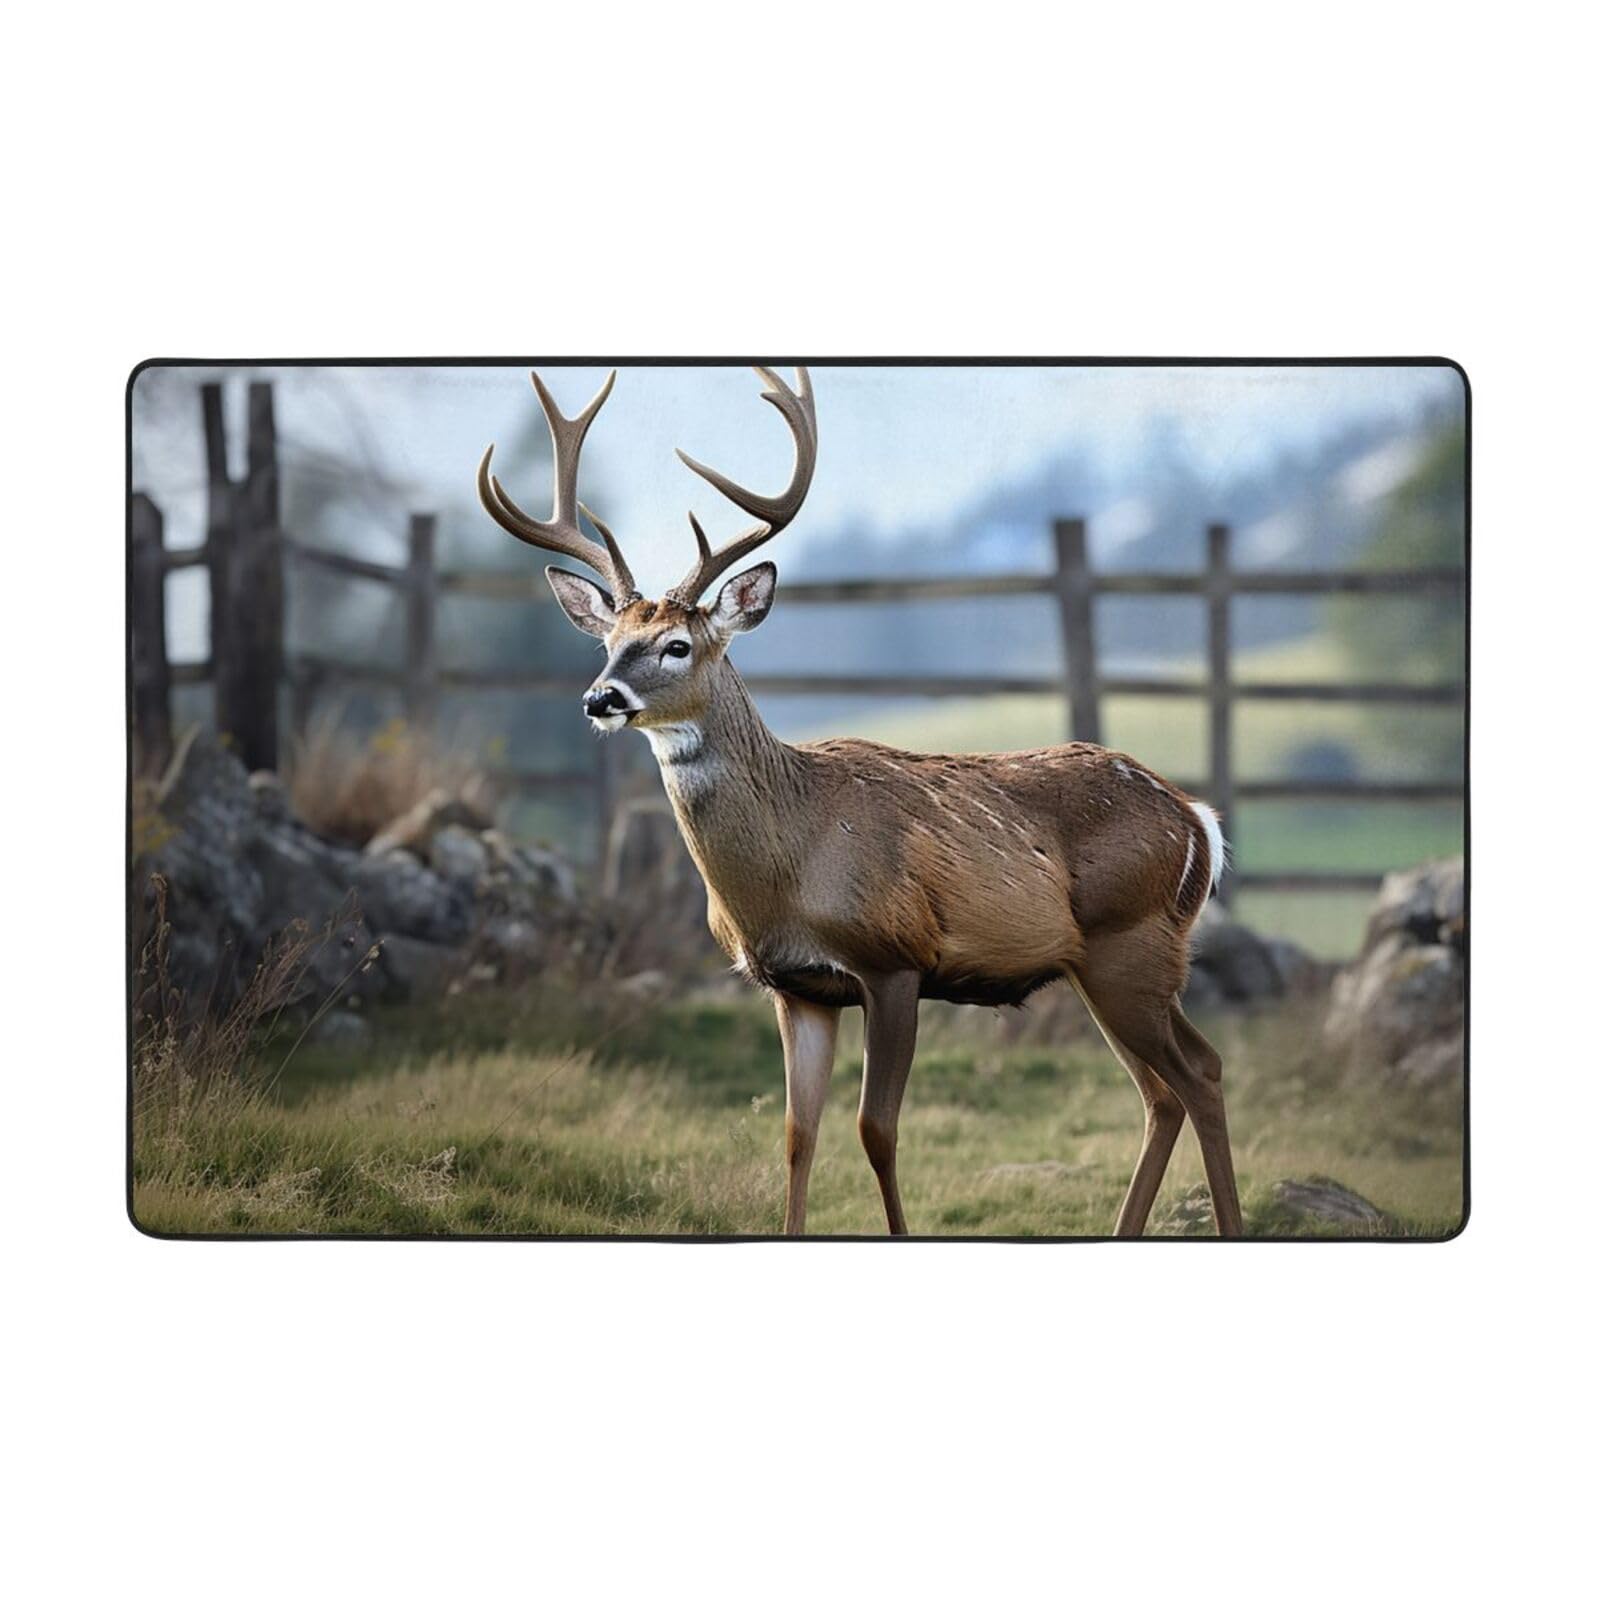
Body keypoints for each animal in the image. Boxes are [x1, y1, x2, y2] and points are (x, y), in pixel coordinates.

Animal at [477, 366, 1243, 1238]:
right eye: (608, 642)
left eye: (676, 645)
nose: (599, 698)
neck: (790, 866)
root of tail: (1199, 823)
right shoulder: (798, 988)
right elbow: (796, 1134)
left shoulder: (895, 958)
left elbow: (876, 1130)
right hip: (1101, 963)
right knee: (1162, 1091)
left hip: (1132, 944)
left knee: (1200, 1072)